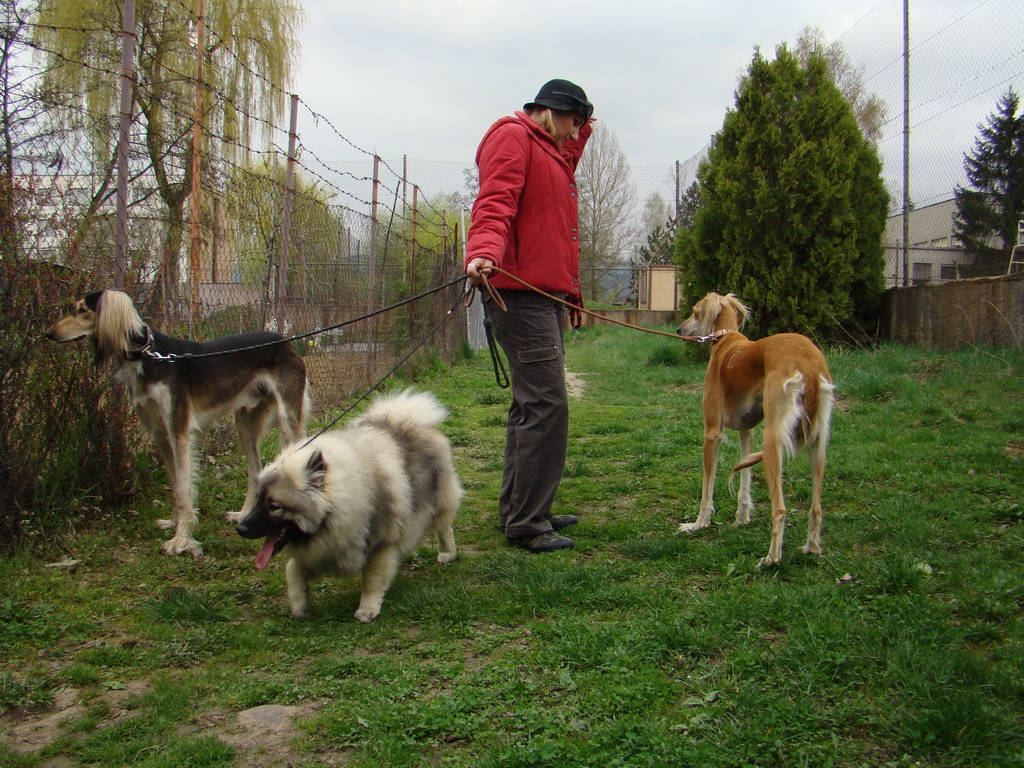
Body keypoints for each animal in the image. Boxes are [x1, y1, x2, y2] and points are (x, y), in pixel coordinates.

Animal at [47, 290, 311, 557]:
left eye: (82, 310)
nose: (49, 334)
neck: (150, 357)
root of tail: (284, 340)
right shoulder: (160, 434)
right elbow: (175, 486)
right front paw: (174, 524)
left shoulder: (179, 432)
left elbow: (184, 489)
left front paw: (181, 540)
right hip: (245, 423)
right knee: (255, 470)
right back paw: (243, 514)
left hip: (287, 417)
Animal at [675, 290, 835, 569]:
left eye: (694, 312)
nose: (679, 329)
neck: (726, 340)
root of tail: (810, 364)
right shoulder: (746, 431)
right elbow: (744, 479)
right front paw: (741, 519)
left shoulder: (712, 432)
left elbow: (707, 487)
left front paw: (698, 524)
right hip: (818, 444)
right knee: (816, 507)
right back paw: (811, 548)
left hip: (772, 441)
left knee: (780, 508)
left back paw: (771, 558)